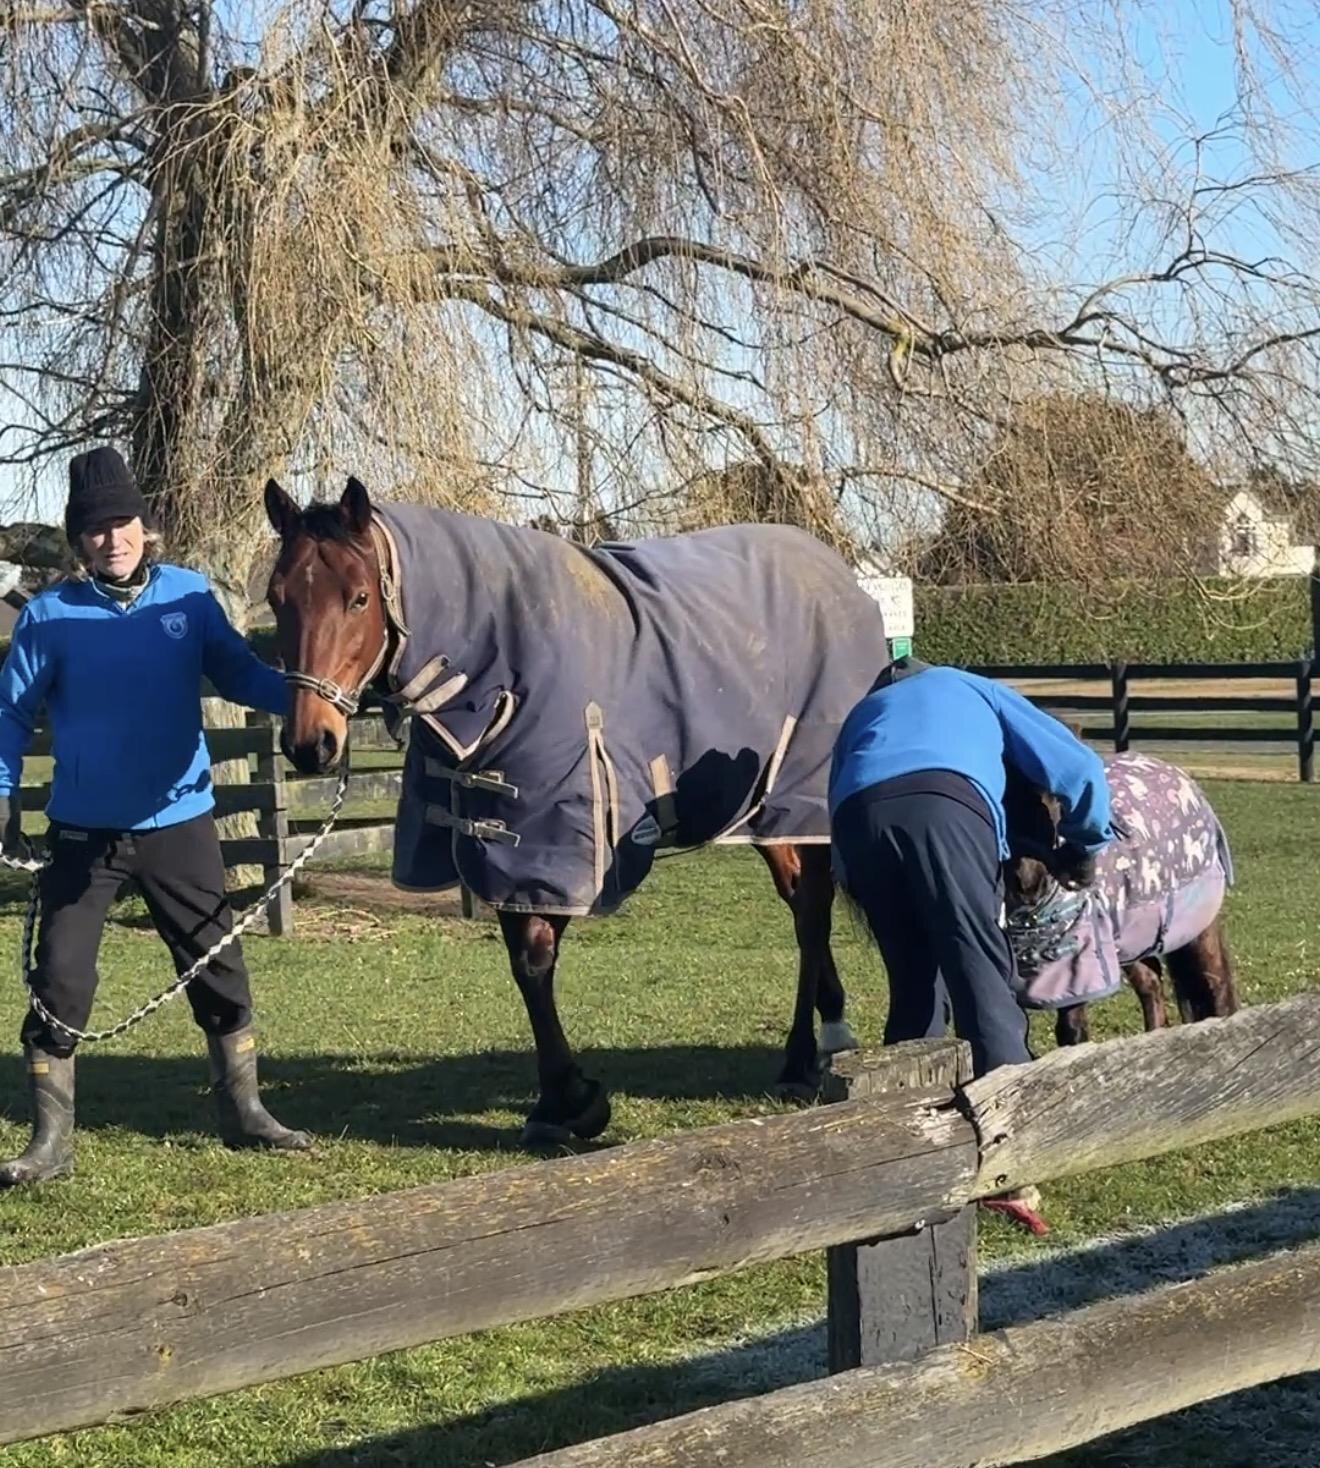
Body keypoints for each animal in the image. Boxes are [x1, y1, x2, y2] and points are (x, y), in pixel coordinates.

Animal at [263, 476, 886, 1143]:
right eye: (277, 598)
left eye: (358, 598)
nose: (310, 743)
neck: (499, 664)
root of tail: (841, 578)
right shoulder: (502, 840)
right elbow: (523, 962)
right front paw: (559, 1104)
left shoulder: (558, 837)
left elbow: (537, 957)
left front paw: (572, 1099)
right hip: (766, 815)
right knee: (802, 906)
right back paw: (831, 1029)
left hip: (800, 799)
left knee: (812, 911)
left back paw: (800, 1057)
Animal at [1002, 748, 1239, 1047]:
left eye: (1053, 803)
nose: (1028, 882)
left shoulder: (1075, 965)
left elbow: (1071, 1029)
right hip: (1132, 937)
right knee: (1151, 984)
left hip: (1196, 929)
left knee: (1213, 984)